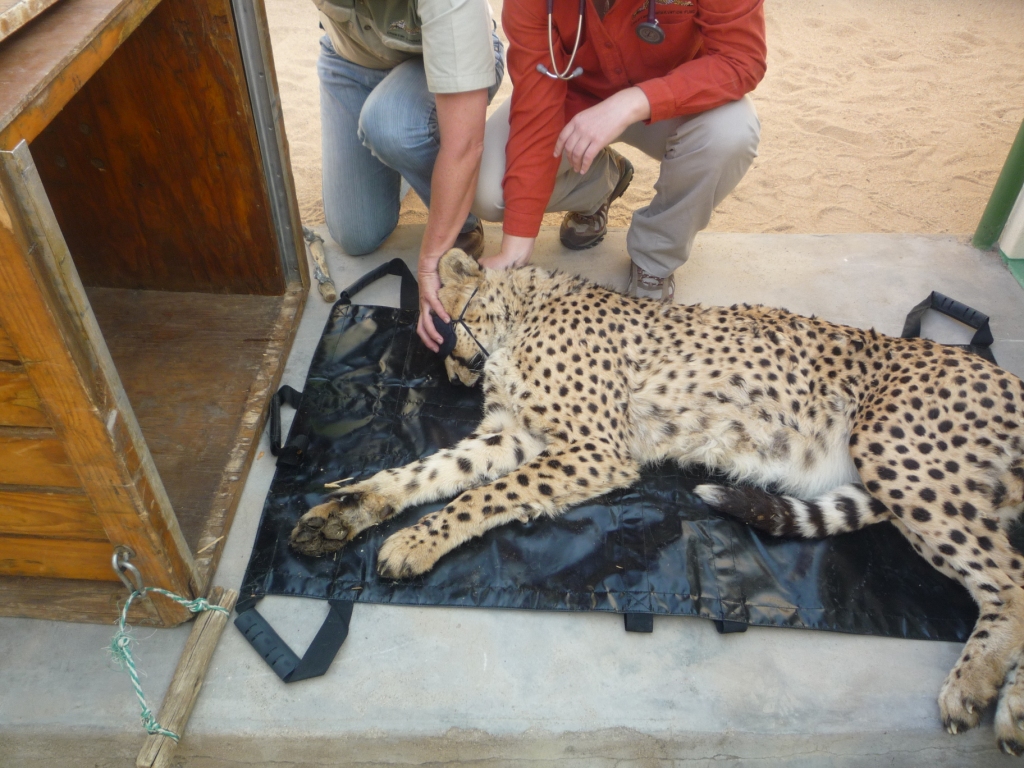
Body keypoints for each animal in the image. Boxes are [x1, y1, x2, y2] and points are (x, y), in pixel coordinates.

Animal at [291, 248, 1024, 754]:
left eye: (454, 319)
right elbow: (432, 471)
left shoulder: (595, 447)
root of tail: (997, 370)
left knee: (1010, 581)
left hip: (900, 457)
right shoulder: (515, 433)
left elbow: (486, 495)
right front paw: (349, 513)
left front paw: (415, 540)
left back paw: (988, 696)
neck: (525, 311)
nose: (456, 370)